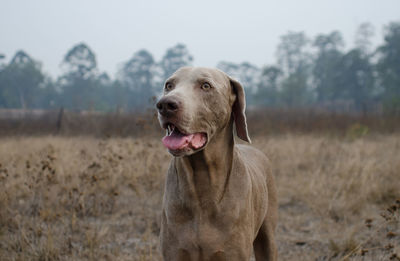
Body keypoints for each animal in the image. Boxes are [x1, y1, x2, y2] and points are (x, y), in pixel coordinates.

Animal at [156, 67, 278, 260]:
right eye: (169, 85)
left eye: (206, 85)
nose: (165, 105)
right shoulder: (175, 252)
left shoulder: (232, 253)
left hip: (268, 235)